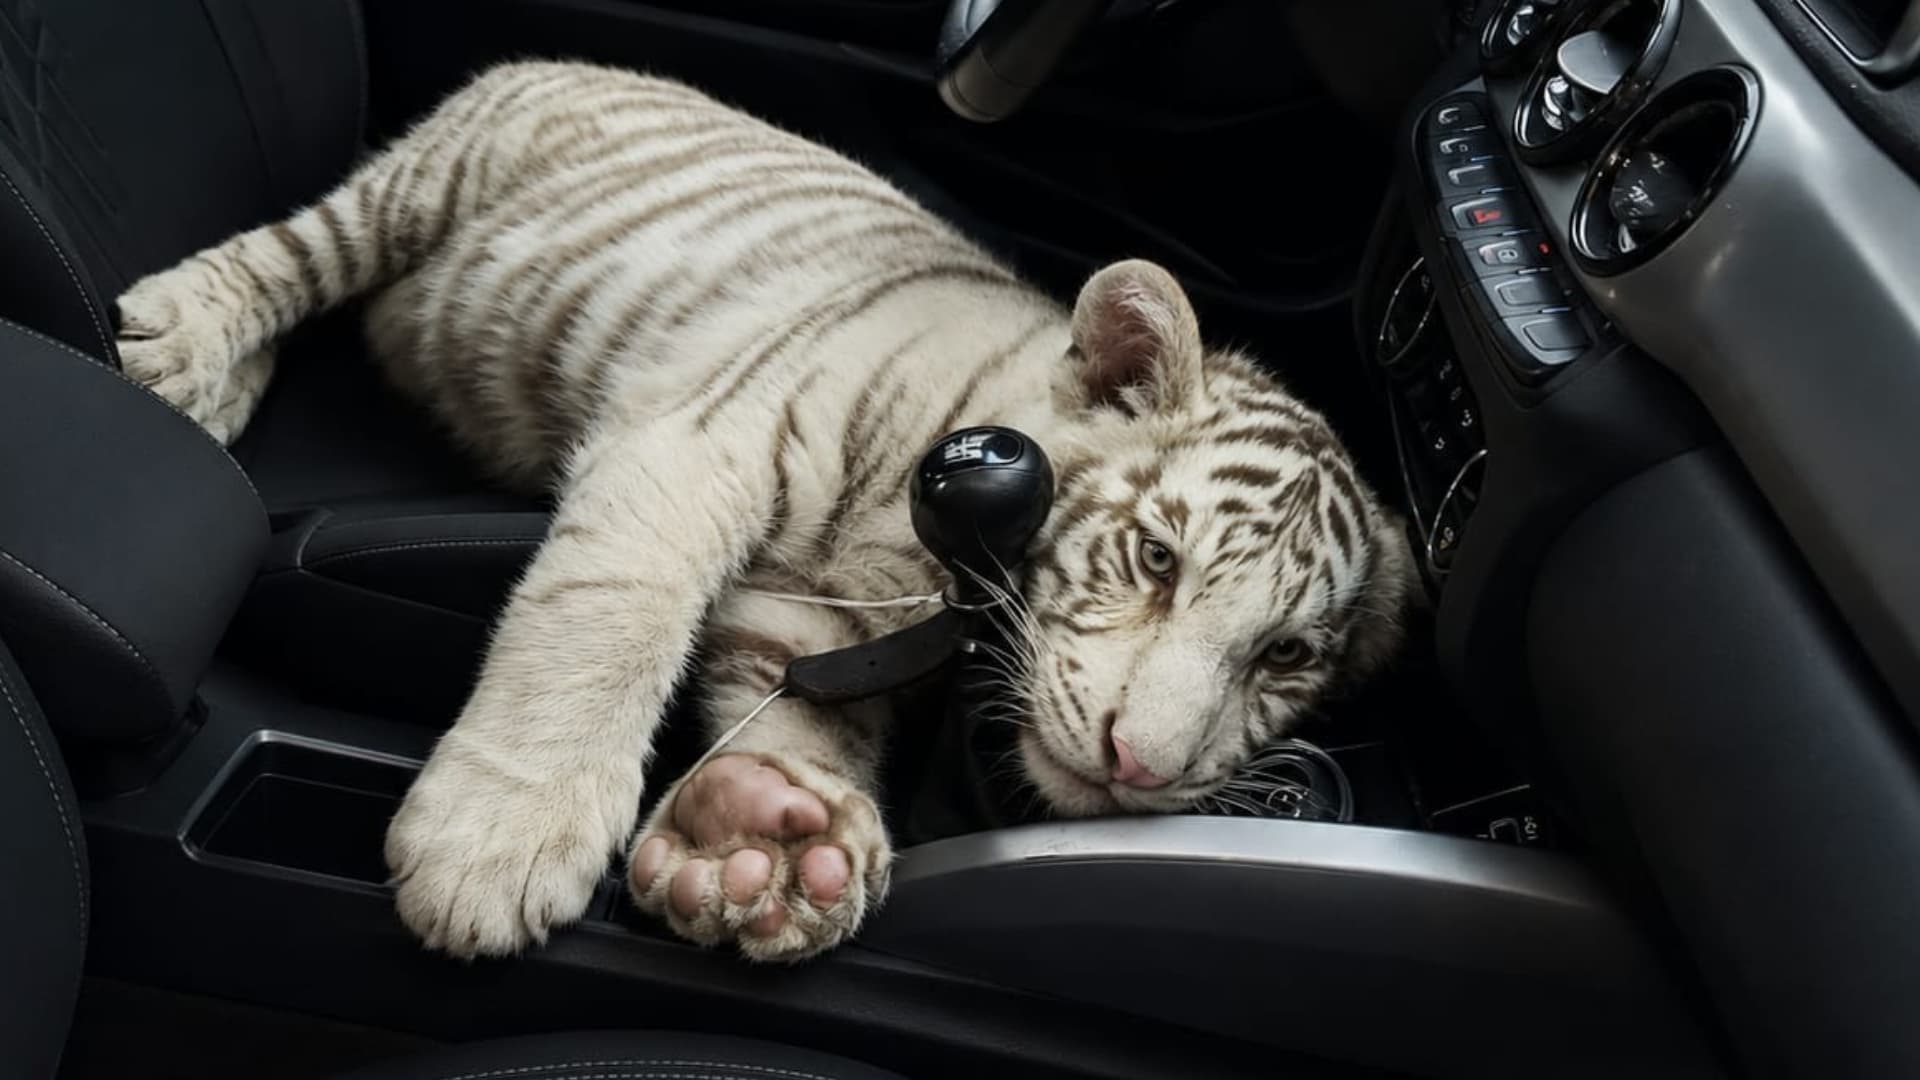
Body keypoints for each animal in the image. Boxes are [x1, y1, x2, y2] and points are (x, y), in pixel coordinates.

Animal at [112, 59, 1416, 963]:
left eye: (1285, 656)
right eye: (1155, 558)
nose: (1140, 768)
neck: (932, 563)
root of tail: (582, 59)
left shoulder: (816, 614)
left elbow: (800, 716)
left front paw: (767, 840)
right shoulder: (696, 444)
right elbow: (604, 623)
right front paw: (495, 843)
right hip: (426, 183)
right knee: (294, 252)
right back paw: (180, 347)